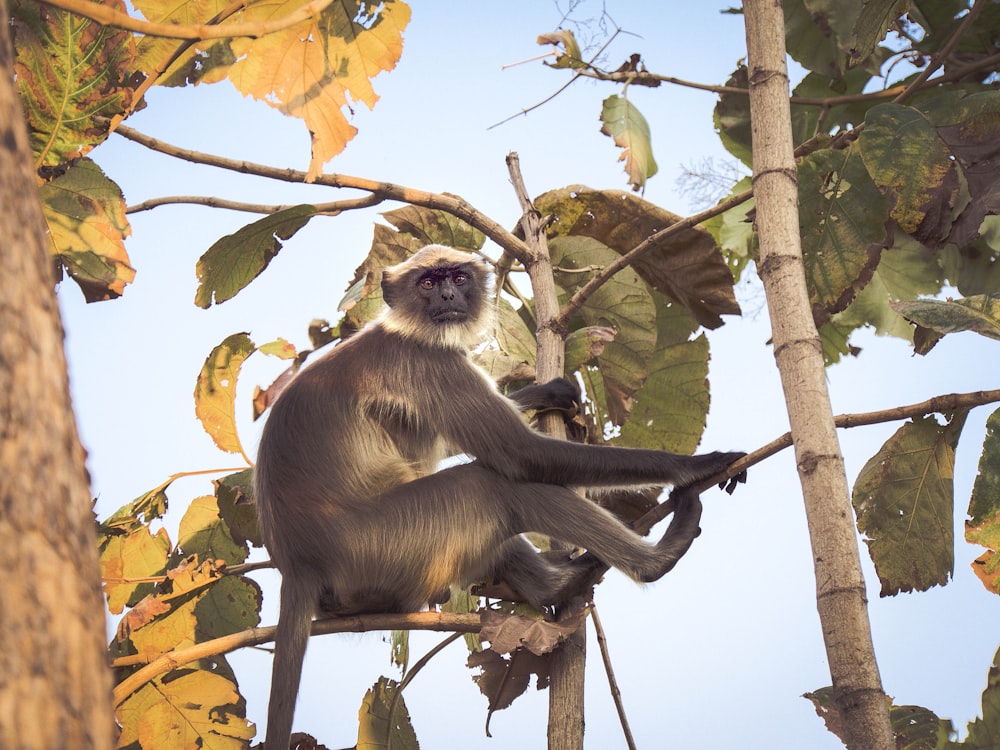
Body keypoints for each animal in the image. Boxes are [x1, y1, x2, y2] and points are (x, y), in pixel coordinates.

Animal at [254, 245, 748, 748]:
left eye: (456, 277)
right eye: (427, 283)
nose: (448, 295)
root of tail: (298, 561)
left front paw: (544, 392)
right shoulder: (425, 362)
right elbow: (519, 455)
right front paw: (695, 465)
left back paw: (559, 585)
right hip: (381, 543)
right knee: (490, 485)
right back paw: (656, 560)